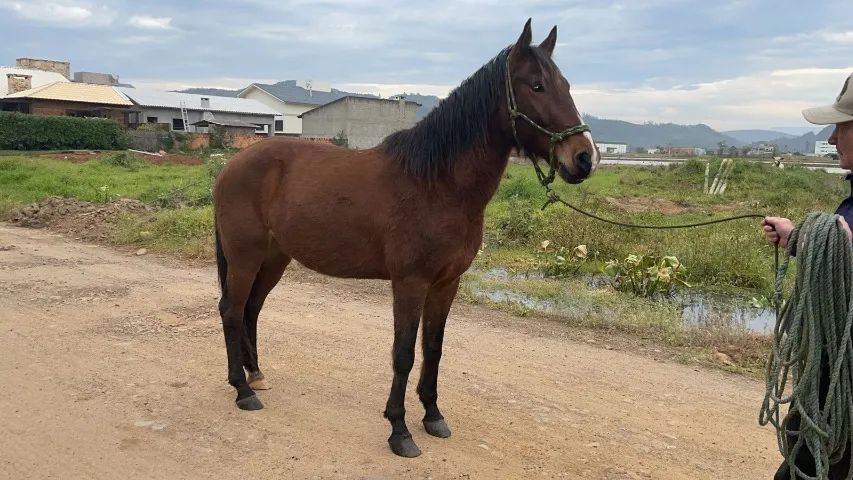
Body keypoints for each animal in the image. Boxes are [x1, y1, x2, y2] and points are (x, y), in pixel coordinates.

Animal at [212, 18, 600, 458]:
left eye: (565, 84)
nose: (584, 158)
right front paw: (399, 430)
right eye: (536, 86)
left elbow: (433, 349)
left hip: (274, 258)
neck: (436, 184)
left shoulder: (447, 283)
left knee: (251, 309)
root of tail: (231, 167)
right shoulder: (410, 282)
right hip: (244, 255)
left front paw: (432, 415)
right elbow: (403, 354)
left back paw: (256, 375)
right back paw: (242, 390)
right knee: (231, 310)